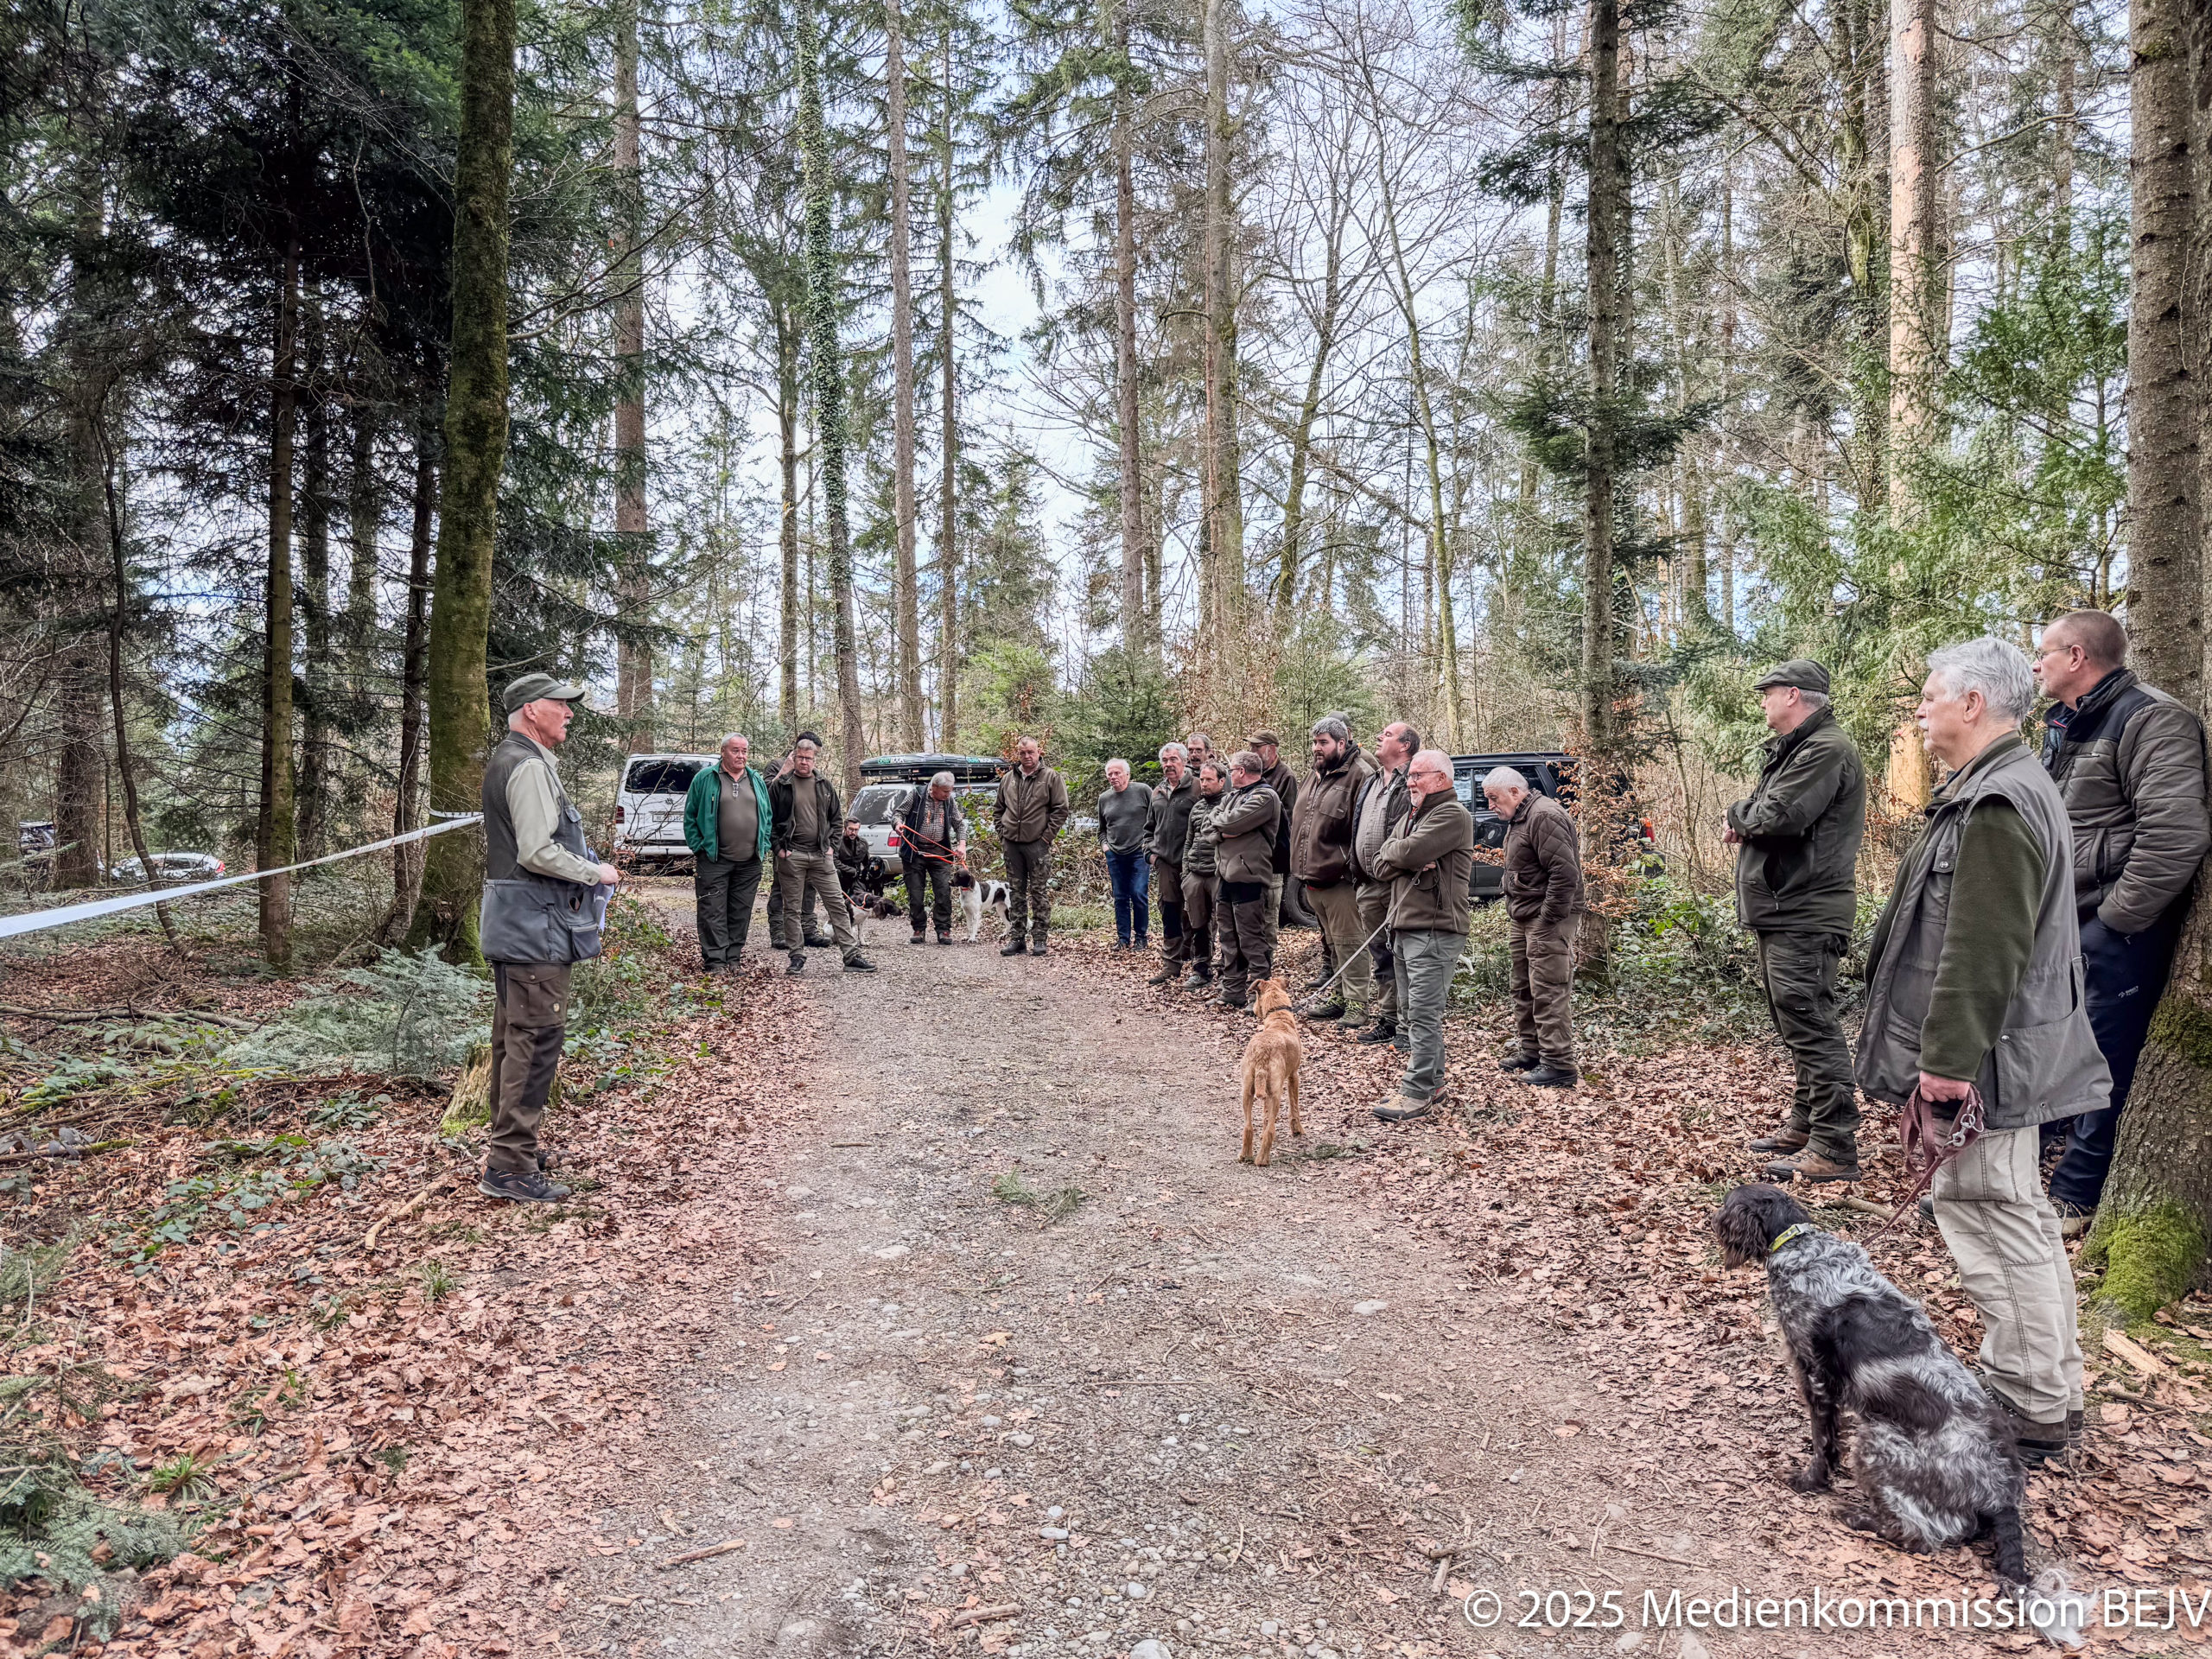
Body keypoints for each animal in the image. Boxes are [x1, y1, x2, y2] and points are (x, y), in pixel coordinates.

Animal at [1237, 979, 1304, 1167]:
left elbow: (1265, 1115)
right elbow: (1294, 1107)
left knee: (1248, 1126)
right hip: (1276, 1093)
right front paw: (1297, 1129)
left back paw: (1245, 1155)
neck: (1279, 1018)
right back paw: (1262, 1160)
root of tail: (1262, 1053)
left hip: (1247, 1090)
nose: (1252, 1010)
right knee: (1271, 1130)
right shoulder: (1293, 1076)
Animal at [1713, 1184, 2028, 1585]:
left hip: (1878, 1442)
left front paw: (1809, 1481)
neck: (1803, 1249)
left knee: (1922, 1535)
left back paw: (1856, 1516)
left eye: (1727, 1202)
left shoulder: (1815, 1375)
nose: (1711, 1218)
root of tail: (2003, 1491)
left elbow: (1822, 1441)